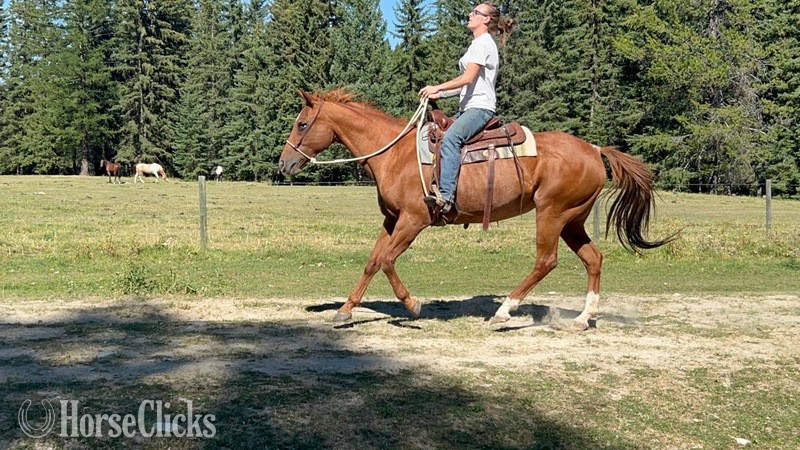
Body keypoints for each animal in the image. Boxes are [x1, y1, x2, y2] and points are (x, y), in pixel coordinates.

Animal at [278, 89, 675, 329]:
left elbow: (388, 261)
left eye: (301, 123)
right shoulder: (392, 220)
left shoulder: (414, 220)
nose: (283, 165)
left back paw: (504, 311)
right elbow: (373, 262)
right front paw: (345, 311)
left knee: (546, 261)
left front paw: (413, 305)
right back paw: (582, 318)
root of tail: (594, 149)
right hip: (572, 220)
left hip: (552, 214)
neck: (395, 153)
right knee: (593, 259)